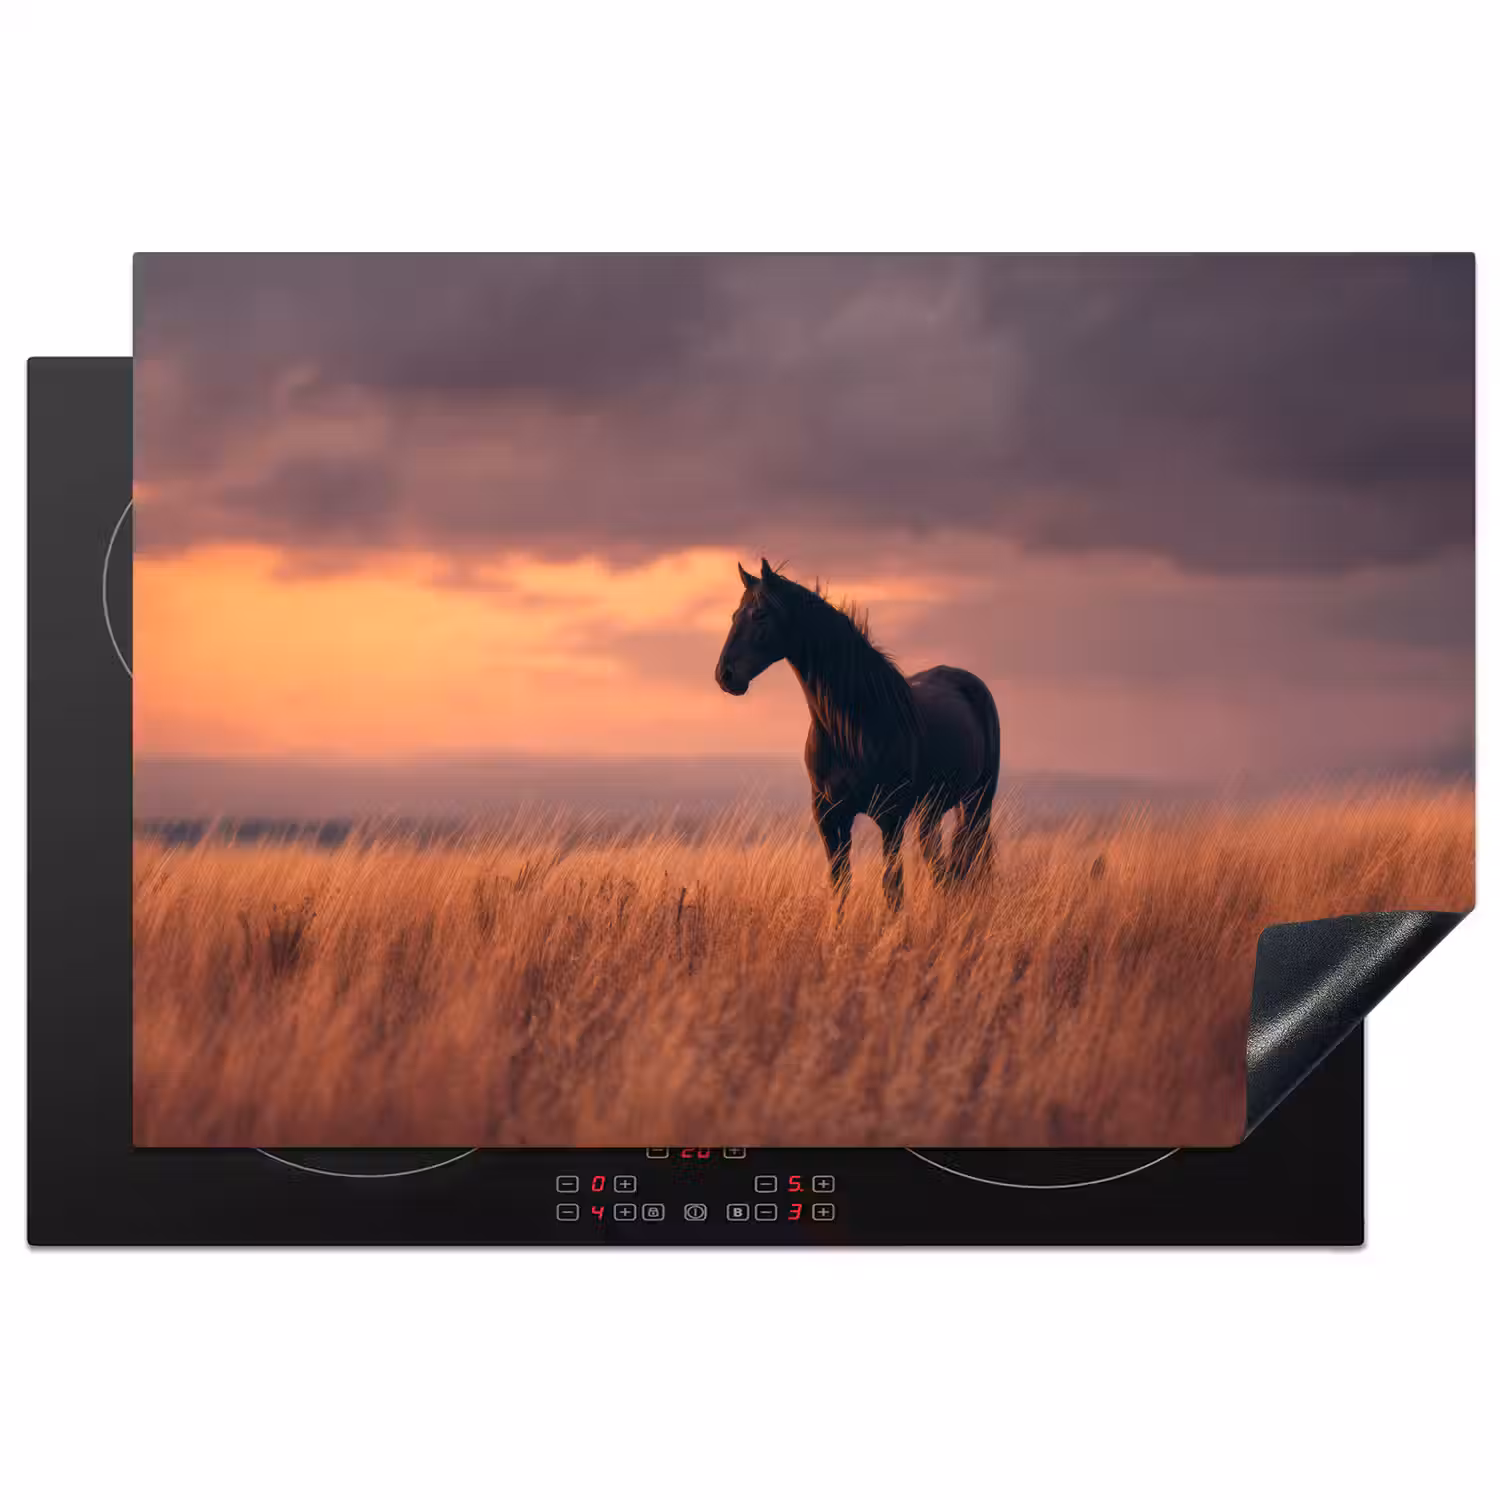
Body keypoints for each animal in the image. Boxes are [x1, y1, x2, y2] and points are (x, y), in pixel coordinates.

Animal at [715, 558, 1001, 911]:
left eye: (760, 614)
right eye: (734, 615)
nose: (725, 675)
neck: (852, 729)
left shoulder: (891, 817)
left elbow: (893, 887)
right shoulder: (829, 817)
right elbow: (841, 885)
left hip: (978, 801)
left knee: (967, 856)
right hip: (931, 809)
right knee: (942, 865)